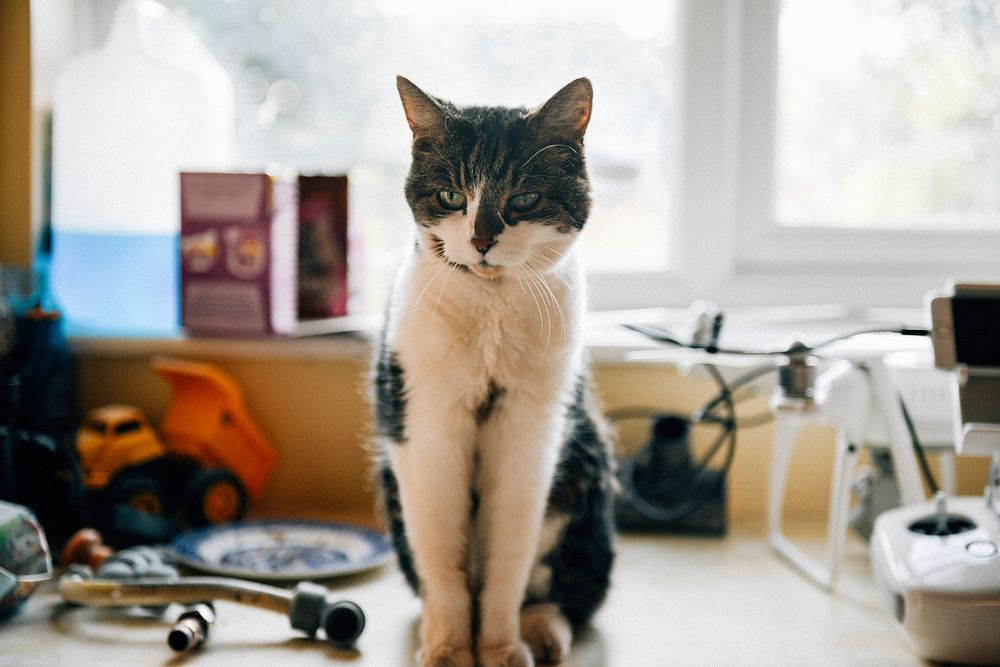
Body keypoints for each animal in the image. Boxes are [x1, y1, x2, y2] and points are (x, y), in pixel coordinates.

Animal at [374, 75, 612, 667]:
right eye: (452, 197)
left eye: (524, 198)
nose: (482, 240)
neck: (490, 308)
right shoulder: (427, 426)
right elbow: (442, 555)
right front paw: (449, 649)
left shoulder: (530, 429)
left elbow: (512, 555)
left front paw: (500, 648)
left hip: (587, 473)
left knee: (564, 593)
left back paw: (543, 634)